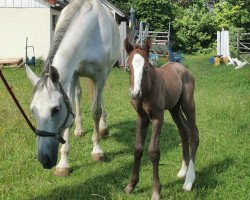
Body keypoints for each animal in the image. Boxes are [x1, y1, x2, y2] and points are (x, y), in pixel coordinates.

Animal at [123, 38, 199, 200]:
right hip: (174, 108)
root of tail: (182, 67)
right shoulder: (141, 118)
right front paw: (131, 185)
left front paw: (156, 191)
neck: (147, 90)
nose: (135, 93)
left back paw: (189, 181)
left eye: (146, 67)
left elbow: (153, 152)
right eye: (128, 67)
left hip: (188, 105)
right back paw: (183, 171)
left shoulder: (158, 117)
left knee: (194, 134)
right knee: (183, 131)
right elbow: (137, 148)